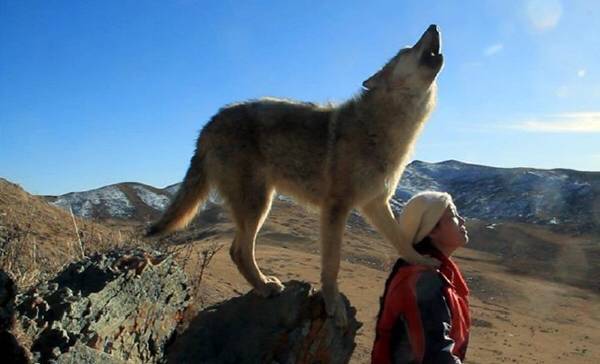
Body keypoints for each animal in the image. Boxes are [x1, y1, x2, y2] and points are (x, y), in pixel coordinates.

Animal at [148, 24, 442, 328]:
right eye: (406, 50)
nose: (433, 26)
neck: (385, 126)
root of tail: (208, 124)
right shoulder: (335, 208)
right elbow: (332, 264)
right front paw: (333, 304)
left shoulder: (376, 204)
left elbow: (401, 240)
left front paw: (423, 261)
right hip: (258, 205)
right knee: (238, 251)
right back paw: (266, 286)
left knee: (237, 250)